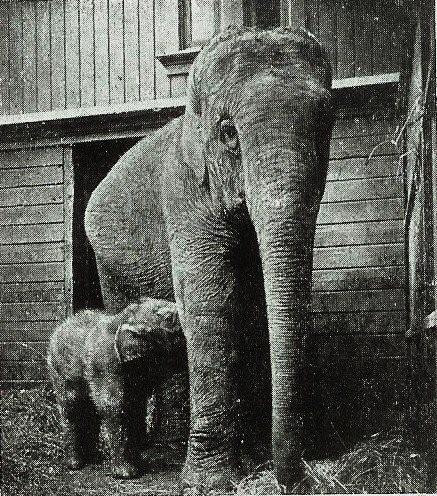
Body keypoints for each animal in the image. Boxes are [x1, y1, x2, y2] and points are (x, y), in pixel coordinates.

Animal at [46, 296, 186, 478]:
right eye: (169, 319)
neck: (122, 319)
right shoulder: (105, 365)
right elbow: (114, 407)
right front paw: (127, 474)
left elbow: (135, 407)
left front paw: (139, 465)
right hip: (57, 369)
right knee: (71, 408)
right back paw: (75, 464)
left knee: (90, 410)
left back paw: (94, 459)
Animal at [84, 26, 334, 492]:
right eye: (229, 133)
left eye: (325, 126)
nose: (292, 481)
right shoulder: (185, 196)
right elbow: (213, 304)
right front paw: (208, 483)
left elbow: (254, 308)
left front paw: (252, 461)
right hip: (108, 267)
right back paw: (146, 454)